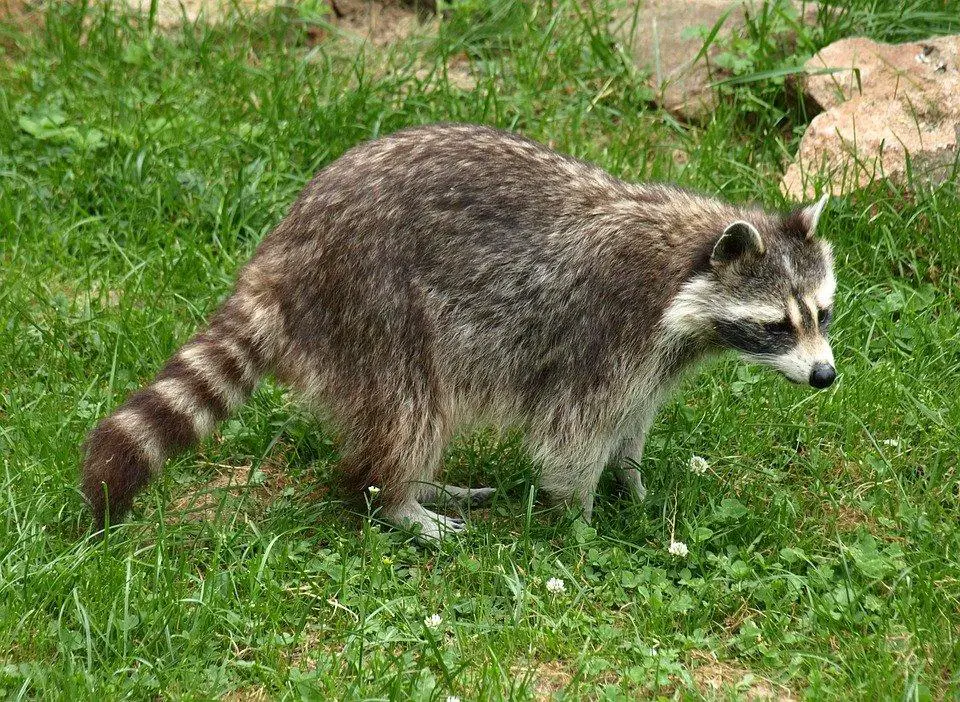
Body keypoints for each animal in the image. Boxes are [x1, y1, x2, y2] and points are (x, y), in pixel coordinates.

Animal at [80, 124, 832, 540]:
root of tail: (287, 244)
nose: (826, 376)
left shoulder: (658, 356)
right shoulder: (607, 328)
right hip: (375, 304)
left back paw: (420, 487)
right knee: (411, 408)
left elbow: (634, 419)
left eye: (821, 314)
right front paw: (580, 518)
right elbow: (573, 434)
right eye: (777, 325)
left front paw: (634, 480)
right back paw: (397, 499)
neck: (685, 264)